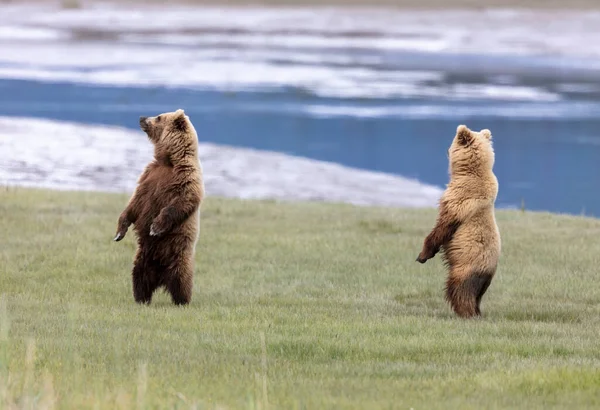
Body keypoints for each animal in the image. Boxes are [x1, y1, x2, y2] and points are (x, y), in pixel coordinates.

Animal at [112, 110, 204, 306]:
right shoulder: (149, 177)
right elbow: (135, 203)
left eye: (159, 117)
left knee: (182, 280)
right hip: (143, 258)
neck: (169, 160)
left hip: (178, 256)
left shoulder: (187, 178)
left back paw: (182, 301)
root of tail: (161, 278)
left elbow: (182, 202)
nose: (141, 117)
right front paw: (119, 233)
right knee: (139, 277)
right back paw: (141, 299)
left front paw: (155, 227)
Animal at [414, 124, 500, 318]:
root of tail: (488, 272)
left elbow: (442, 226)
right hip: (481, 281)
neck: (472, 173)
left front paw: (422, 255)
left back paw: (465, 313)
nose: (446, 150)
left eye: (452, 141)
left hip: (467, 267)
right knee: (475, 296)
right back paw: (476, 311)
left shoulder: (460, 199)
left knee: (458, 289)